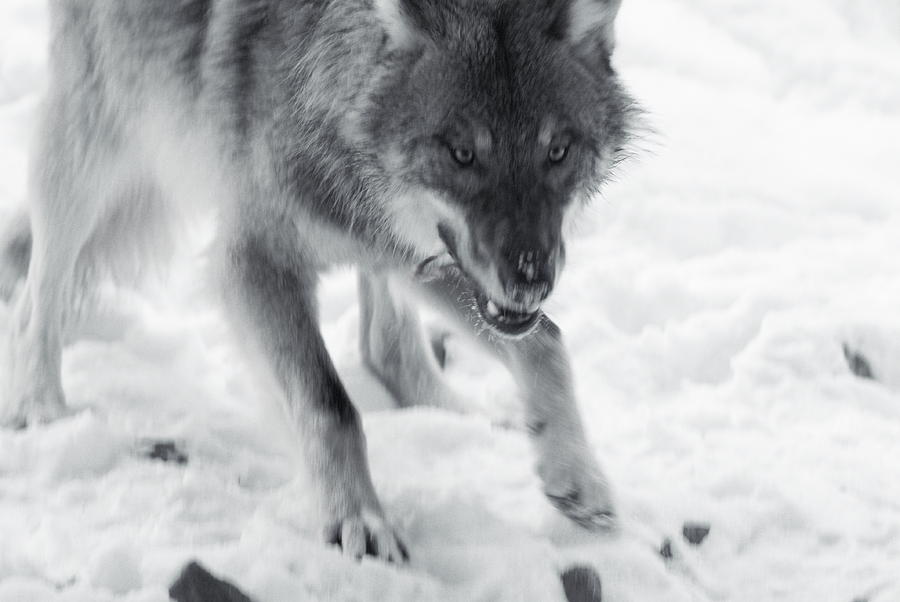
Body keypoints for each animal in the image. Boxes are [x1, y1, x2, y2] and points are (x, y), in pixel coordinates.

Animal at [0, 0, 636, 564]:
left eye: (558, 150)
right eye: (461, 153)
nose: (531, 277)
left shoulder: (405, 245)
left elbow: (546, 342)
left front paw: (579, 477)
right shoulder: (255, 259)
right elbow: (330, 405)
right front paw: (360, 521)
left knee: (385, 343)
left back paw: (463, 417)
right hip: (93, 143)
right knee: (38, 297)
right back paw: (44, 410)